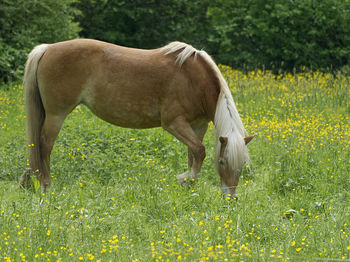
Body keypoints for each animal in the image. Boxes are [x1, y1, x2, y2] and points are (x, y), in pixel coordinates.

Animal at [19, 39, 254, 198]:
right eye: (222, 161)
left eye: (242, 164)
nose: (231, 197)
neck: (193, 79)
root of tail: (47, 48)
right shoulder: (173, 123)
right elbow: (200, 151)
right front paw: (185, 180)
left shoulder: (198, 126)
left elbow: (193, 154)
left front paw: (189, 186)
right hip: (56, 115)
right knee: (44, 145)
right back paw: (46, 185)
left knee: (37, 145)